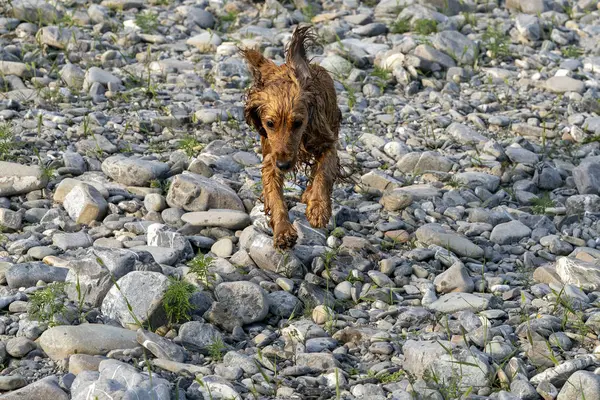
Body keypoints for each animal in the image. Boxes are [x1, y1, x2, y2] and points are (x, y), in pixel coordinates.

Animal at [240, 25, 342, 248]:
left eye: (297, 123)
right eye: (270, 124)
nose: (284, 165)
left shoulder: (327, 143)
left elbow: (323, 173)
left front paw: (318, 208)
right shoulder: (271, 160)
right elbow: (275, 196)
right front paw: (283, 231)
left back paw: (309, 194)